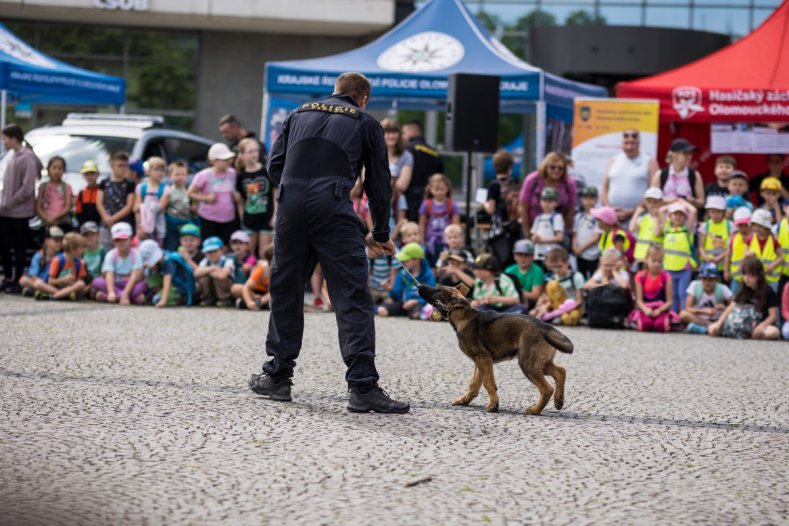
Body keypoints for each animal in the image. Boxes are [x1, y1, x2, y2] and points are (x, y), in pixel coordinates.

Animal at [418, 284, 572, 416]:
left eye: (438, 291)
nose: (420, 286)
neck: (463, 316)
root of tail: (545, 327)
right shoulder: (480, 361)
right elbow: (474, 384)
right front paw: (464, 400)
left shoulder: (483, 358)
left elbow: (488, 383)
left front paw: (493, 405)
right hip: (539, 363)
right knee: (561, 371)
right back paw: (559, 400)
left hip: (528, 364)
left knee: (547, 388)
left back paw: (535, 410)